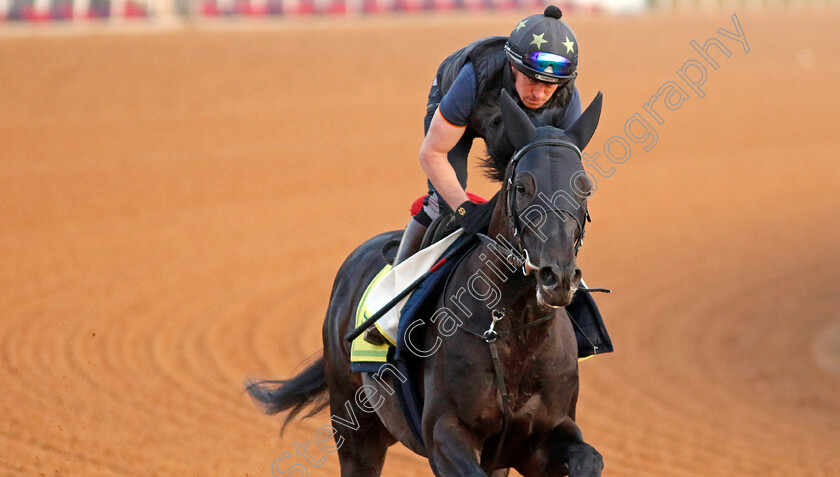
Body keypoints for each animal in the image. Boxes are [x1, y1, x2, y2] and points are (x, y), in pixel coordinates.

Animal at [246, 90, 608, 476]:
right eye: (523, 186)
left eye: (585, 186)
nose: (558, 277)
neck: (511, 329)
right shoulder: (443, 433)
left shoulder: (536, 440)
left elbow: (589, 457)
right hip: (355, 428)